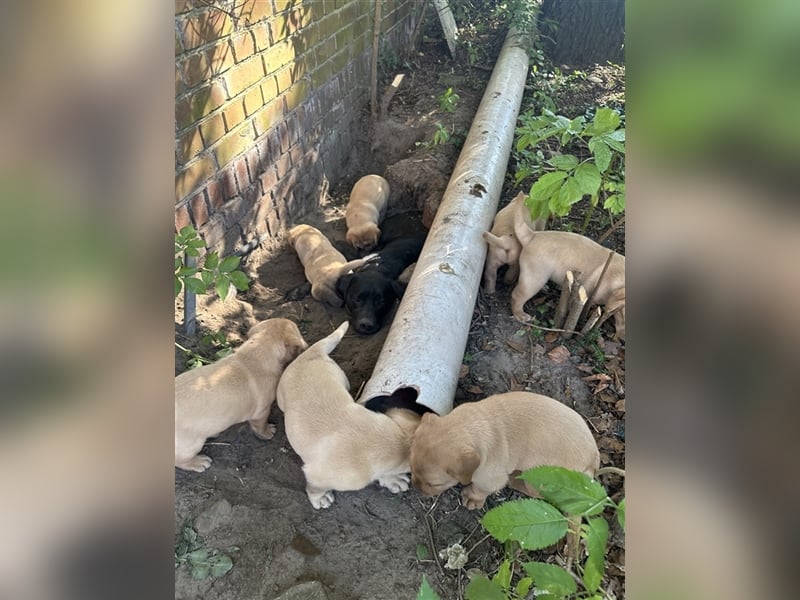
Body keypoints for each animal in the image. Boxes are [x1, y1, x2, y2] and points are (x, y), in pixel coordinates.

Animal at [175, 318, 310, 474]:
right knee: (180, 460)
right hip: (191, 444)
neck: (256, 351)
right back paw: (199, 462)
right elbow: (260, 426)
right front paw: (267, 433)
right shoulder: (261, 412)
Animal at [276, 322, 422, 508]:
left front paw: (391, 479)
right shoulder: (317, 475)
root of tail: (312, 353)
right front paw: (319, 498)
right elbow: (315, 488)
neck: (398, 442)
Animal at [410, 392, 596, 508]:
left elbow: (480, 489)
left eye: (434, 484)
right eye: (411, 470)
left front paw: (472, 498)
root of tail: (594, 461)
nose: (416, 489)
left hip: (539, 479)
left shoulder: (489, 479)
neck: (471, 426)